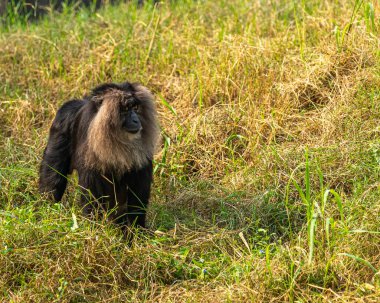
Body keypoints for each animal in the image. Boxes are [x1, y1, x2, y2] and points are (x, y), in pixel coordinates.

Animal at [39, 82, 160, 232]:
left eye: (136, 108)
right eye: (125, 109)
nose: (136, 120)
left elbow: (138, 193)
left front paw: (137, 231)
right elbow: (91, 194)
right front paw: (94, 229)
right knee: (53, 174)